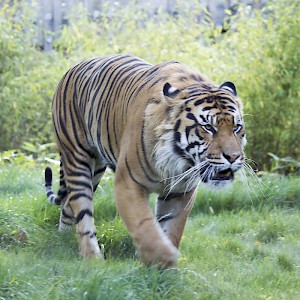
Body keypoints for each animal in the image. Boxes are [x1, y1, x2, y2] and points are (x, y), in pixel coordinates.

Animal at [44, 53, 246, 268]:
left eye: (236, 127)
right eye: (208, 127)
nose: (233, 157)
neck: (177, 160)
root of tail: (72, 68)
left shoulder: (180, 192)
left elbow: (172, 229)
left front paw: (165, 269)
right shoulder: (128, 184)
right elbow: (145, 227)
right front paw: (162, 258)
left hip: (96, 170)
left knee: (68, 205)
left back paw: (63, 238)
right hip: (77, 159)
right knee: (82, 212)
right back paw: (91, 258)